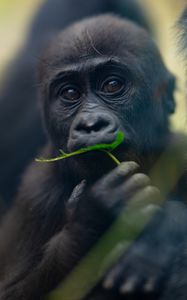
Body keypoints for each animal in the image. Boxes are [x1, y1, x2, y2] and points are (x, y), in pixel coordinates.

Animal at [0, 15, 186, 300]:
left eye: (112, 85)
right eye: (70, 94)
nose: (91, 125)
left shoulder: (180, 154)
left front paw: (161, 233)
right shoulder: (35, 194)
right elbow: (11, 290)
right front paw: (94, 216)